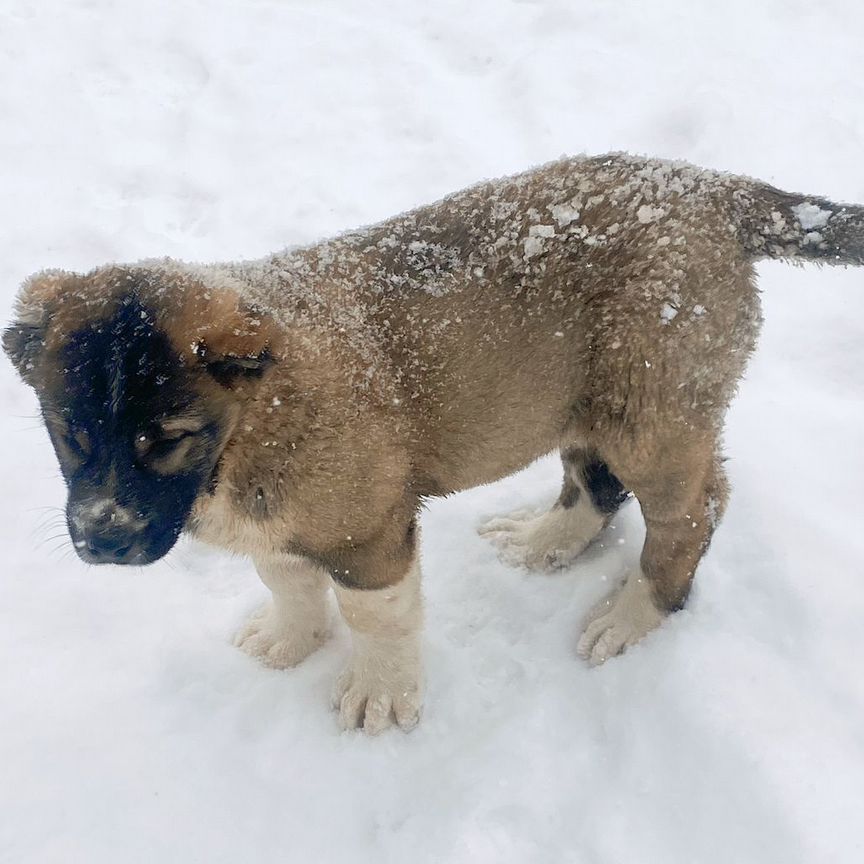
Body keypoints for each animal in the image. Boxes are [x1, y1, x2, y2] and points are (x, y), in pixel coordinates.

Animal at [6, 152, 864, 732]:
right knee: (597, 483)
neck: (249, 424)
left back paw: (631, 617)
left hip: (652, 408)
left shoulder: (367, 533)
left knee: (691, 514)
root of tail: (707, 187)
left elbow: (377, 621)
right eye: (68, 435)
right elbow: (286, 581)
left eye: (170, 438)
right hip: (582, 400)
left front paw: (379, 696)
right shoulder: (283, 522)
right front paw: (288, 640)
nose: (102, 540)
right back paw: (543, 542)